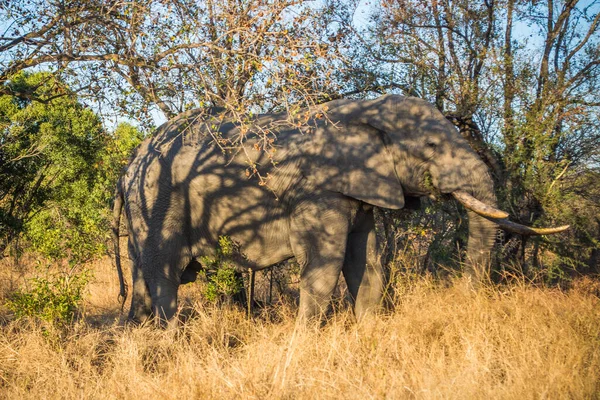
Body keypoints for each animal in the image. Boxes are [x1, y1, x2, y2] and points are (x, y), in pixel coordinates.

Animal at [111, 94, 568, 324]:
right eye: (432, 145)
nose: (468, 300)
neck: (361, 112)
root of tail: (128, 166)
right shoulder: (321, 186)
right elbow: (325, 262)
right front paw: (303, 342)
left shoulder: (361, 187)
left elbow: (366, 261)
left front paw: (369, 333)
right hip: (158, 196)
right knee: (165, 270)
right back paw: (168, 335)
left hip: (144, 206)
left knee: (142, 271)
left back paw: (138, 332)